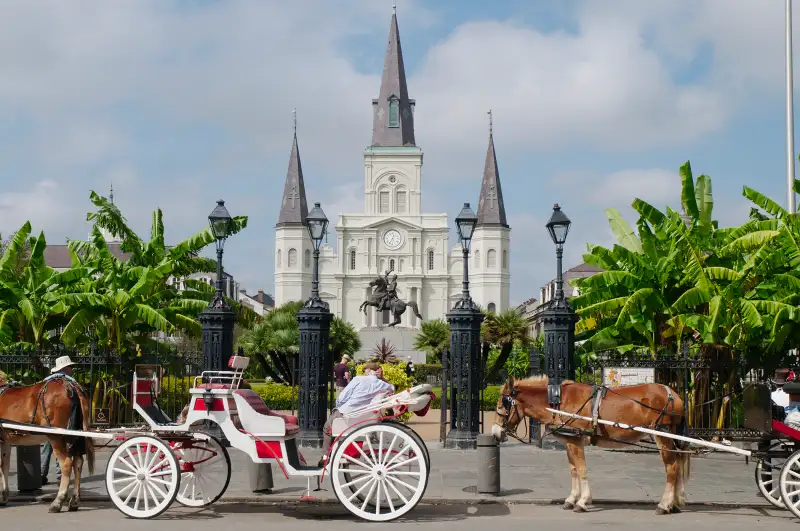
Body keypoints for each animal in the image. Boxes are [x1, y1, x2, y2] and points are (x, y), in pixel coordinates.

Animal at [0, 376, 95, 512]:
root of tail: (71, 386)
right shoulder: (5, 441)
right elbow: (4, 466)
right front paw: (3, 496)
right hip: (75, 437)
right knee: (78, 462)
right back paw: (74, 501)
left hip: (56, 437)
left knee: (66, 463)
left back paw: (58, 501)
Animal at [490, 376, 692, 516]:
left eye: (501, 405)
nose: (495, 432)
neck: (557, 402)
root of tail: (674, 394)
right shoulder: (570, 442)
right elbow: (573, 470)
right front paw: (572, 499)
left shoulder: (575, 441)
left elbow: (581, 470)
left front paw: (582, 502)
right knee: (678, 460)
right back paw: (675, 503)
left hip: (661, 434)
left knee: (672, 467)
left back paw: (664, 504)